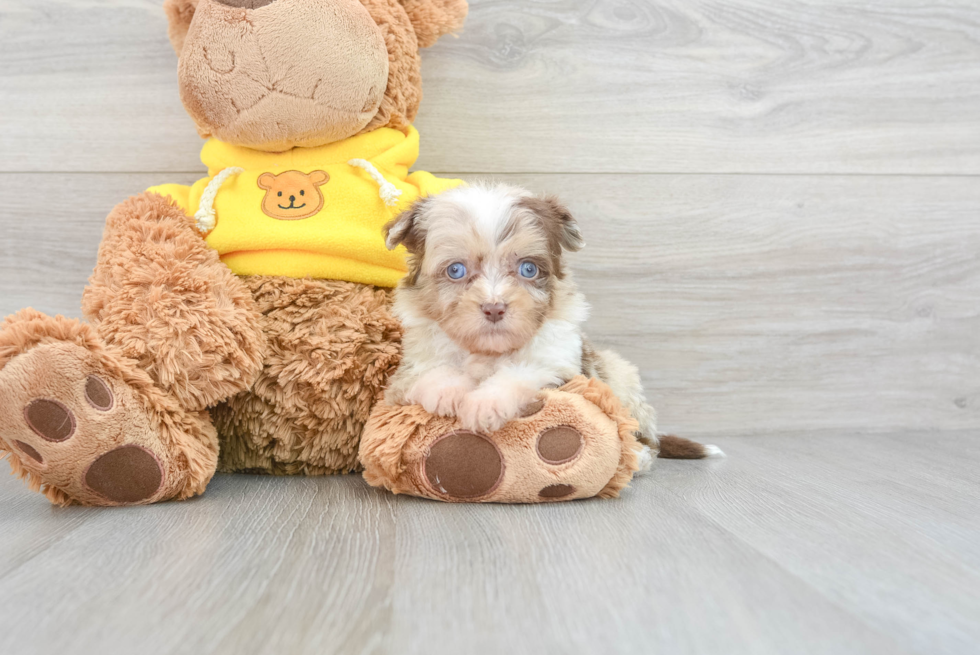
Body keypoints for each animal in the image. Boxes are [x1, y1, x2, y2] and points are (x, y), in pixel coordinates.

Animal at [382, 184, 720, 468]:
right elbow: (429, 373)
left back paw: (637, 456)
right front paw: (449, 393)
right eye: (455, 270)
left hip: (622, 381)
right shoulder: (407, 370)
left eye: (528, 269)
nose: (494, 307)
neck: (488, 352)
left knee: (644, 438)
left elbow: (524, 372)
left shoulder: (562, 368)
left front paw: (485, 404)